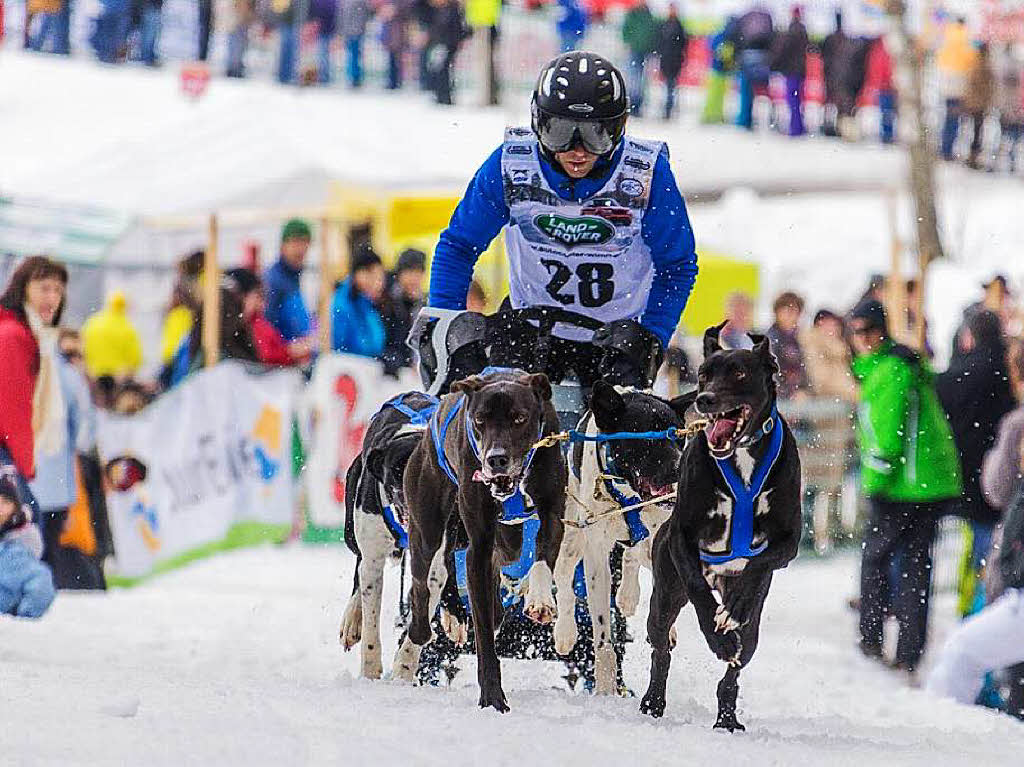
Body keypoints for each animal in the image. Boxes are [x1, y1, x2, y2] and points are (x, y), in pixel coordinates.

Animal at [552, 380, 688, 692]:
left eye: (678, 438)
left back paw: (629, 595)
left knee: (635, 557)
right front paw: (605, 686)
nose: (681, 467)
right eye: (647, 438)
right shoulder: (595, 556)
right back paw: (564, 631)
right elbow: (603, 635)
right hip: (571, 541)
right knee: (562, 580)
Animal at [638, 321, 798, 729]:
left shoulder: (788, 542)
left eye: (739, 373)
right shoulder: (682, 538)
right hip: (664, 597)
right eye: (704, 373)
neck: (741, 457)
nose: (706, 399)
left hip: (754, 629)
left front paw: (736, 609)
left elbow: (759, 563)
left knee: (738, 662)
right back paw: (654, 701)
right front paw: (717, 637)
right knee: (661, 648)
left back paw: (727, 716)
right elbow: (699, 592)